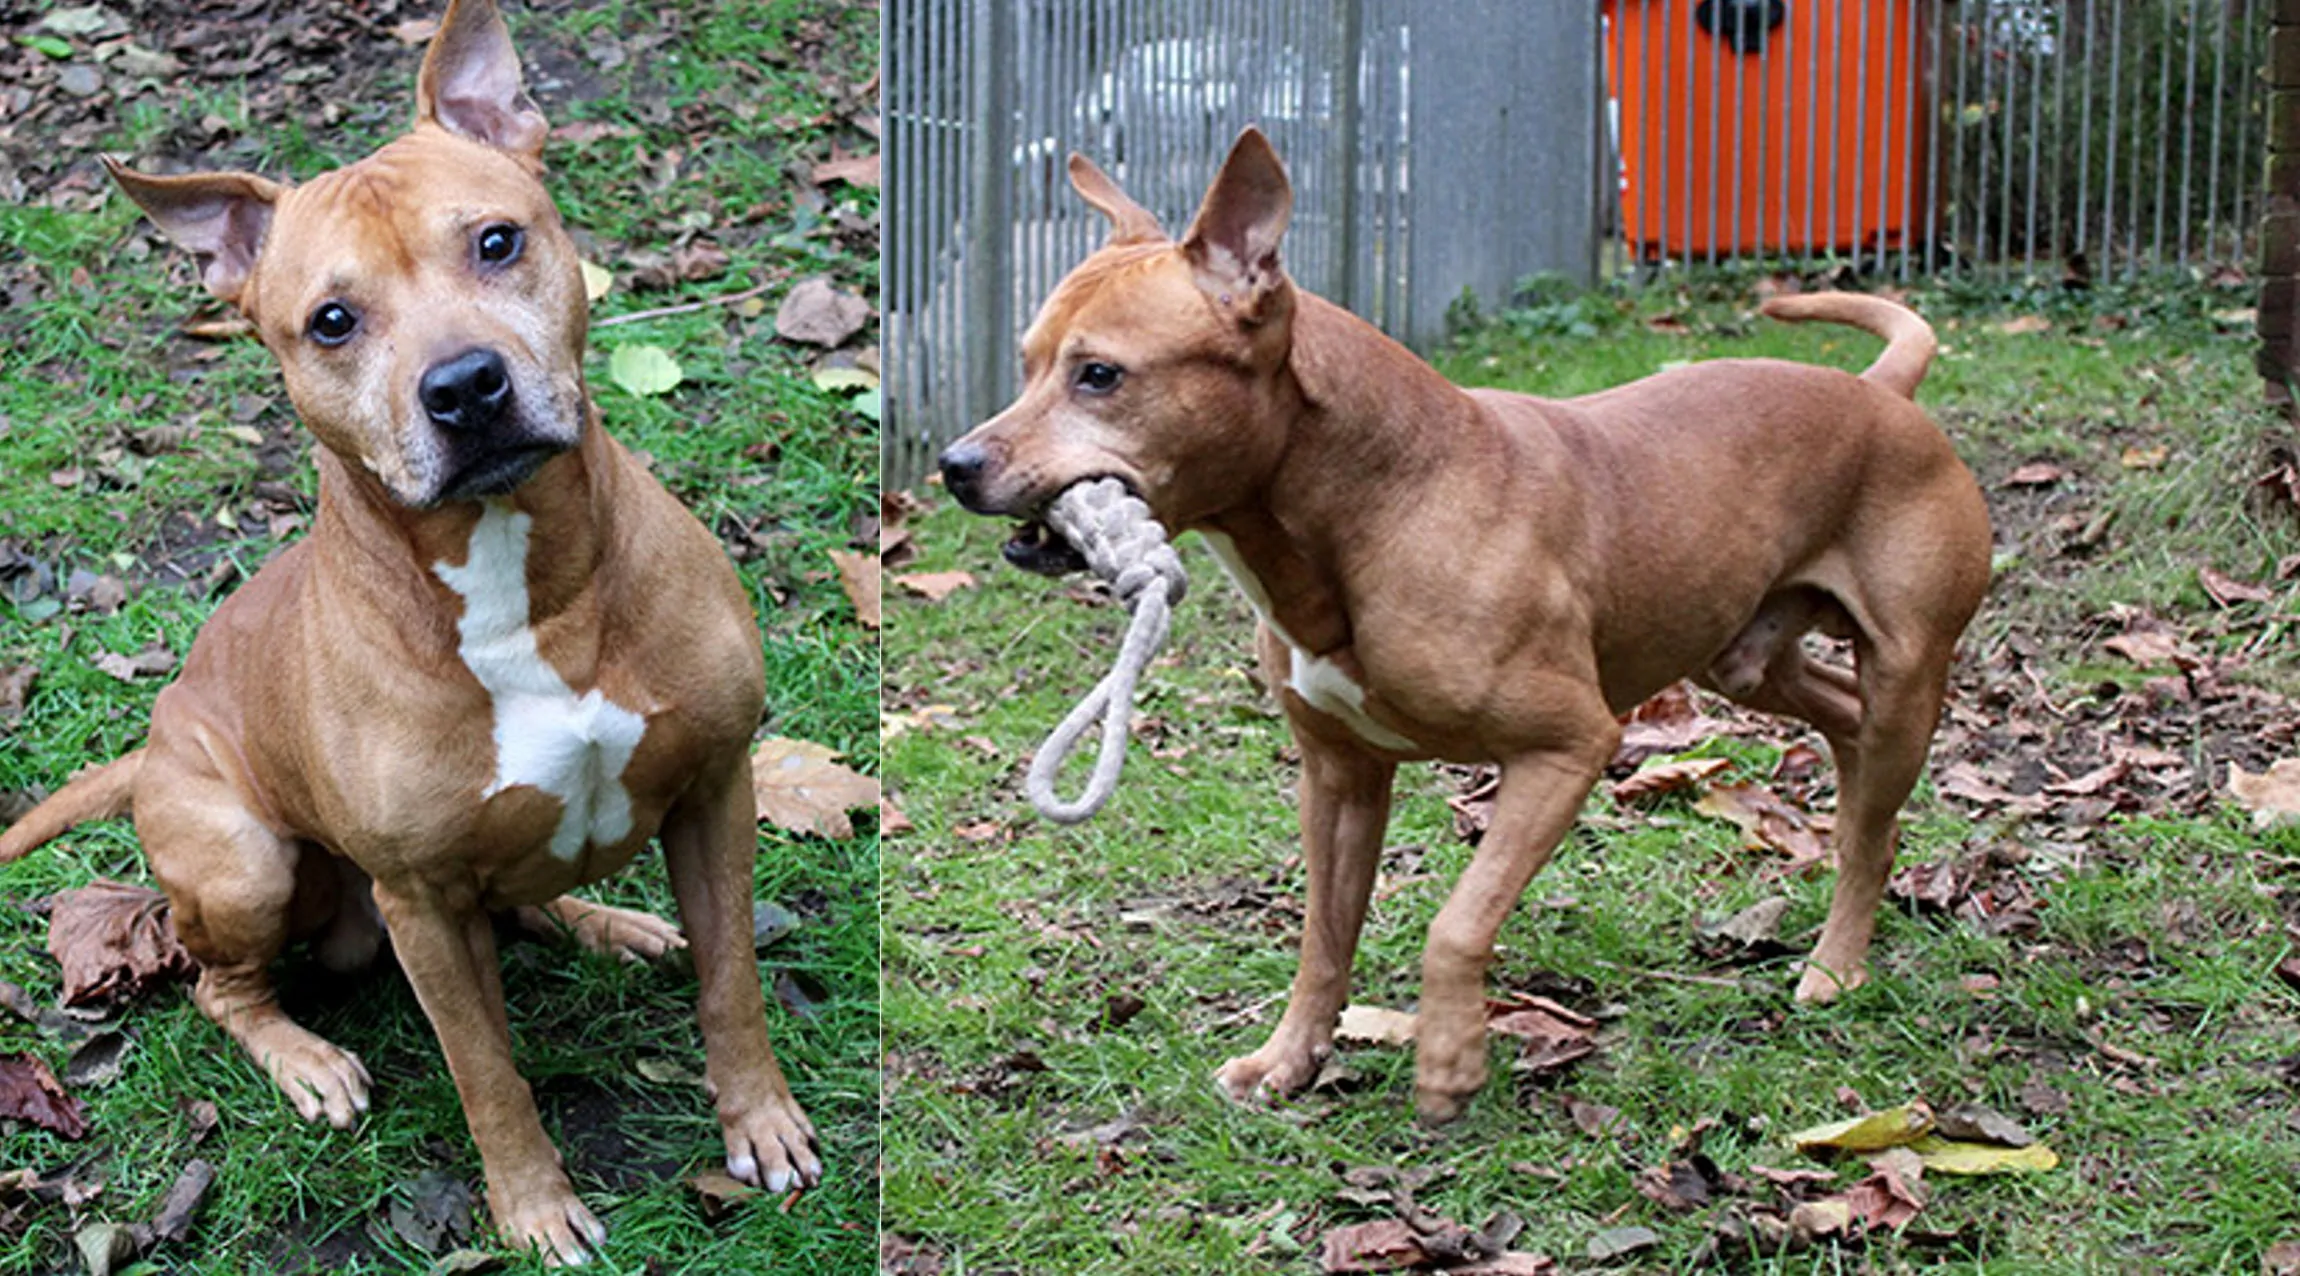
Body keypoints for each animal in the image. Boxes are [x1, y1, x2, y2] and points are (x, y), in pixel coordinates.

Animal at [0, 0, 823, 1259]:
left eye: (495, 241)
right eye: (332, 321)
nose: (466, 385)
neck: (524, 584)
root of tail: (148, 746)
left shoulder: (717, 784)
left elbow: (731, 979)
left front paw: (760, 1122)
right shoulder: (421, 903)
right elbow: (484, 1067)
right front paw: (532, 1208)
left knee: (533, 895)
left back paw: (609, 922)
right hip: (245, 863)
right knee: (219, 985)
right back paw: (307, 1061)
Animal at [933, 129, 1996, 1121]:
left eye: (1099, 376)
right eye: (1027, 364)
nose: (954, 464)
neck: (1369, 510)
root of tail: (1882, 391)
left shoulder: (1567, 749)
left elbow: (1457, 921)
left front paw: (1449, 1061)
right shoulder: (1340, 778)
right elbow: (1324, 938)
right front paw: (1290, 1061)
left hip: (1906, 672)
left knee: (1872, 817)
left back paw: (1836, 963)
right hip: (1746, 659)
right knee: (1844, 725)